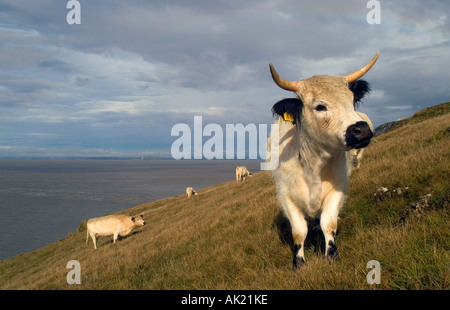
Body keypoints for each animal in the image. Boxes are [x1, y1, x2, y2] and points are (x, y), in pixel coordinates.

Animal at [268, 52, 380, 266]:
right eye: (320, 106)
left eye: (352, 100)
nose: (361, 129)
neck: (313, 164)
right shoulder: (286, 196)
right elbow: (298, 231)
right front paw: (299, 262)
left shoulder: (338, 188)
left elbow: (328, 222)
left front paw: (331, 254)